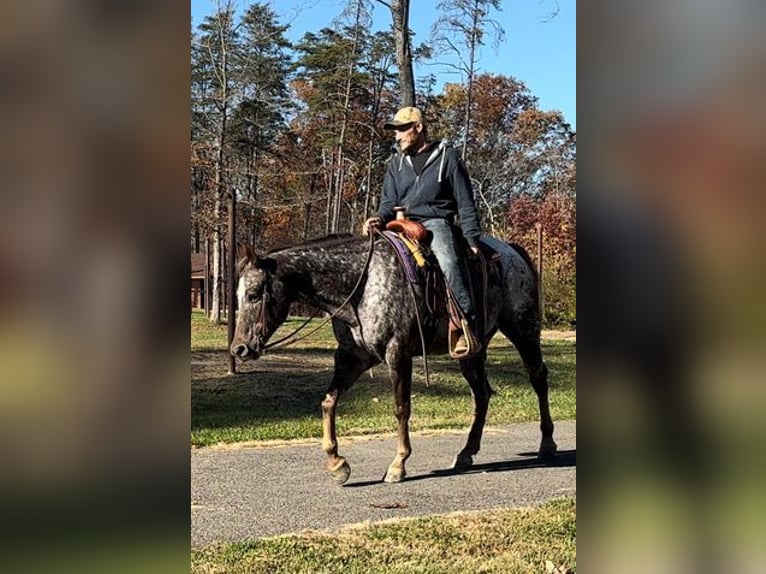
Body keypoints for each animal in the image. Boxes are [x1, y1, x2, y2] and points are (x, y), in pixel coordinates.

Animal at [230, 234, 560, 486]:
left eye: (255, 293)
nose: (239, 349)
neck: (361, 287)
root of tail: (512, 251)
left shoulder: (397, 353)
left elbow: (401, 408)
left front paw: (398, 465)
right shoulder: (353, 357)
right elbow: (328, 401)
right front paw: (337, 463)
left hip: (523, 329)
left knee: (538, 378)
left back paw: (547, 444)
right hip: (471, 351)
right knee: (481, 394)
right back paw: (466, 452)